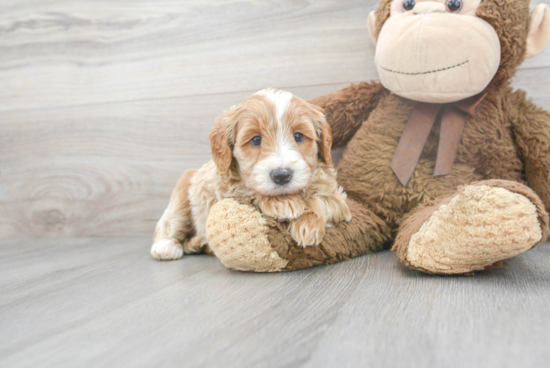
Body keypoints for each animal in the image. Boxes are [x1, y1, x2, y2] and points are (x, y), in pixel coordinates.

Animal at [150, 89, 354, 260]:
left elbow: (322, 200)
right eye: (256, 140)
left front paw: (308, 225)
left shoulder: (339, 200)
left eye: (298, 136)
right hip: (183, 194)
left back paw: (199, 243)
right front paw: (282, 203)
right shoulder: (226, 189)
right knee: (169, 224)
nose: (282, 175)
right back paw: (166, 246)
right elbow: (249, 190)